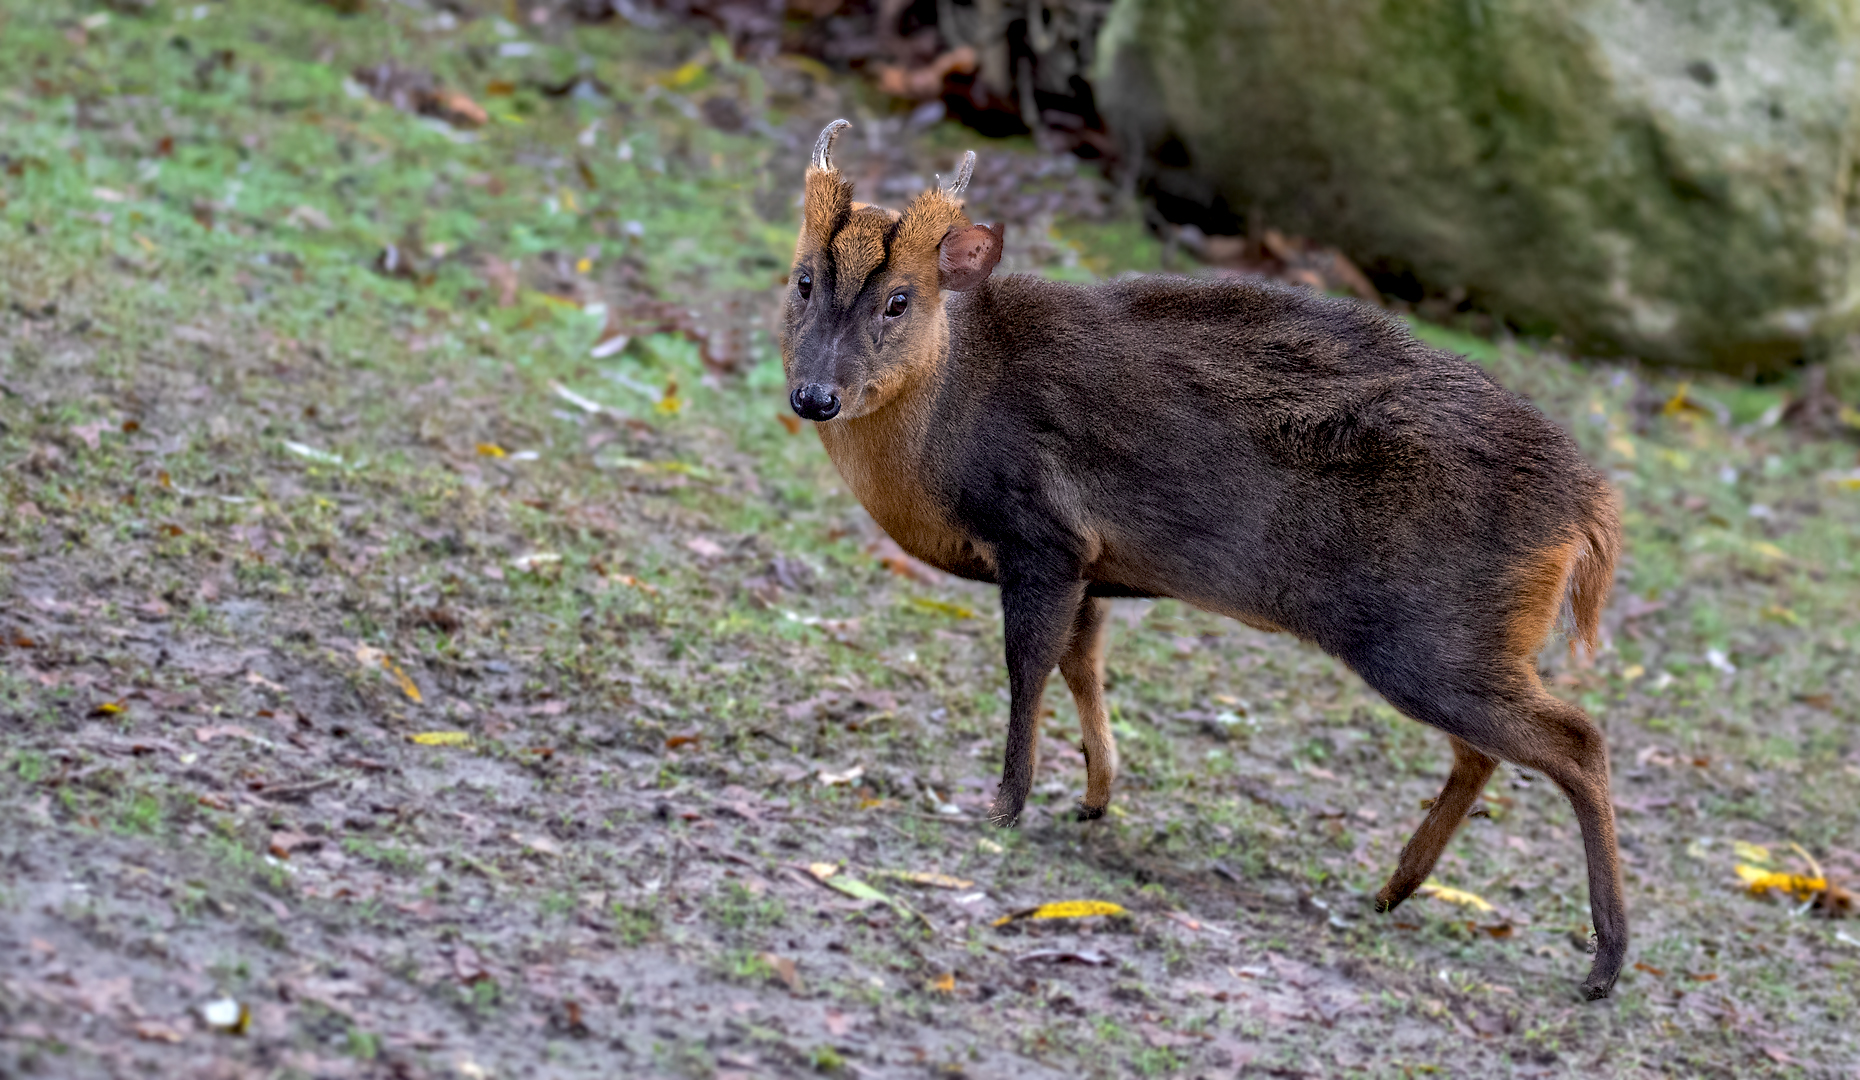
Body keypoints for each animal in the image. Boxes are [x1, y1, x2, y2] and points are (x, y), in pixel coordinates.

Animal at [784, 119, 1629, 996]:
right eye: (803, 280)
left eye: (899, 298)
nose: (815, 397)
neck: (946, 424)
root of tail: (1587, 508)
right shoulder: (1093, 566)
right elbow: (1082, 663)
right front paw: (1095, 797)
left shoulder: (1041, 535)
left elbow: (1028, 666)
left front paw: (1005, 806)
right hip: (1460, 647)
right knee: (1486, 751)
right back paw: (1394, 890)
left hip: (1432, 639)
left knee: (1577, 742)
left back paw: (1603, 962)